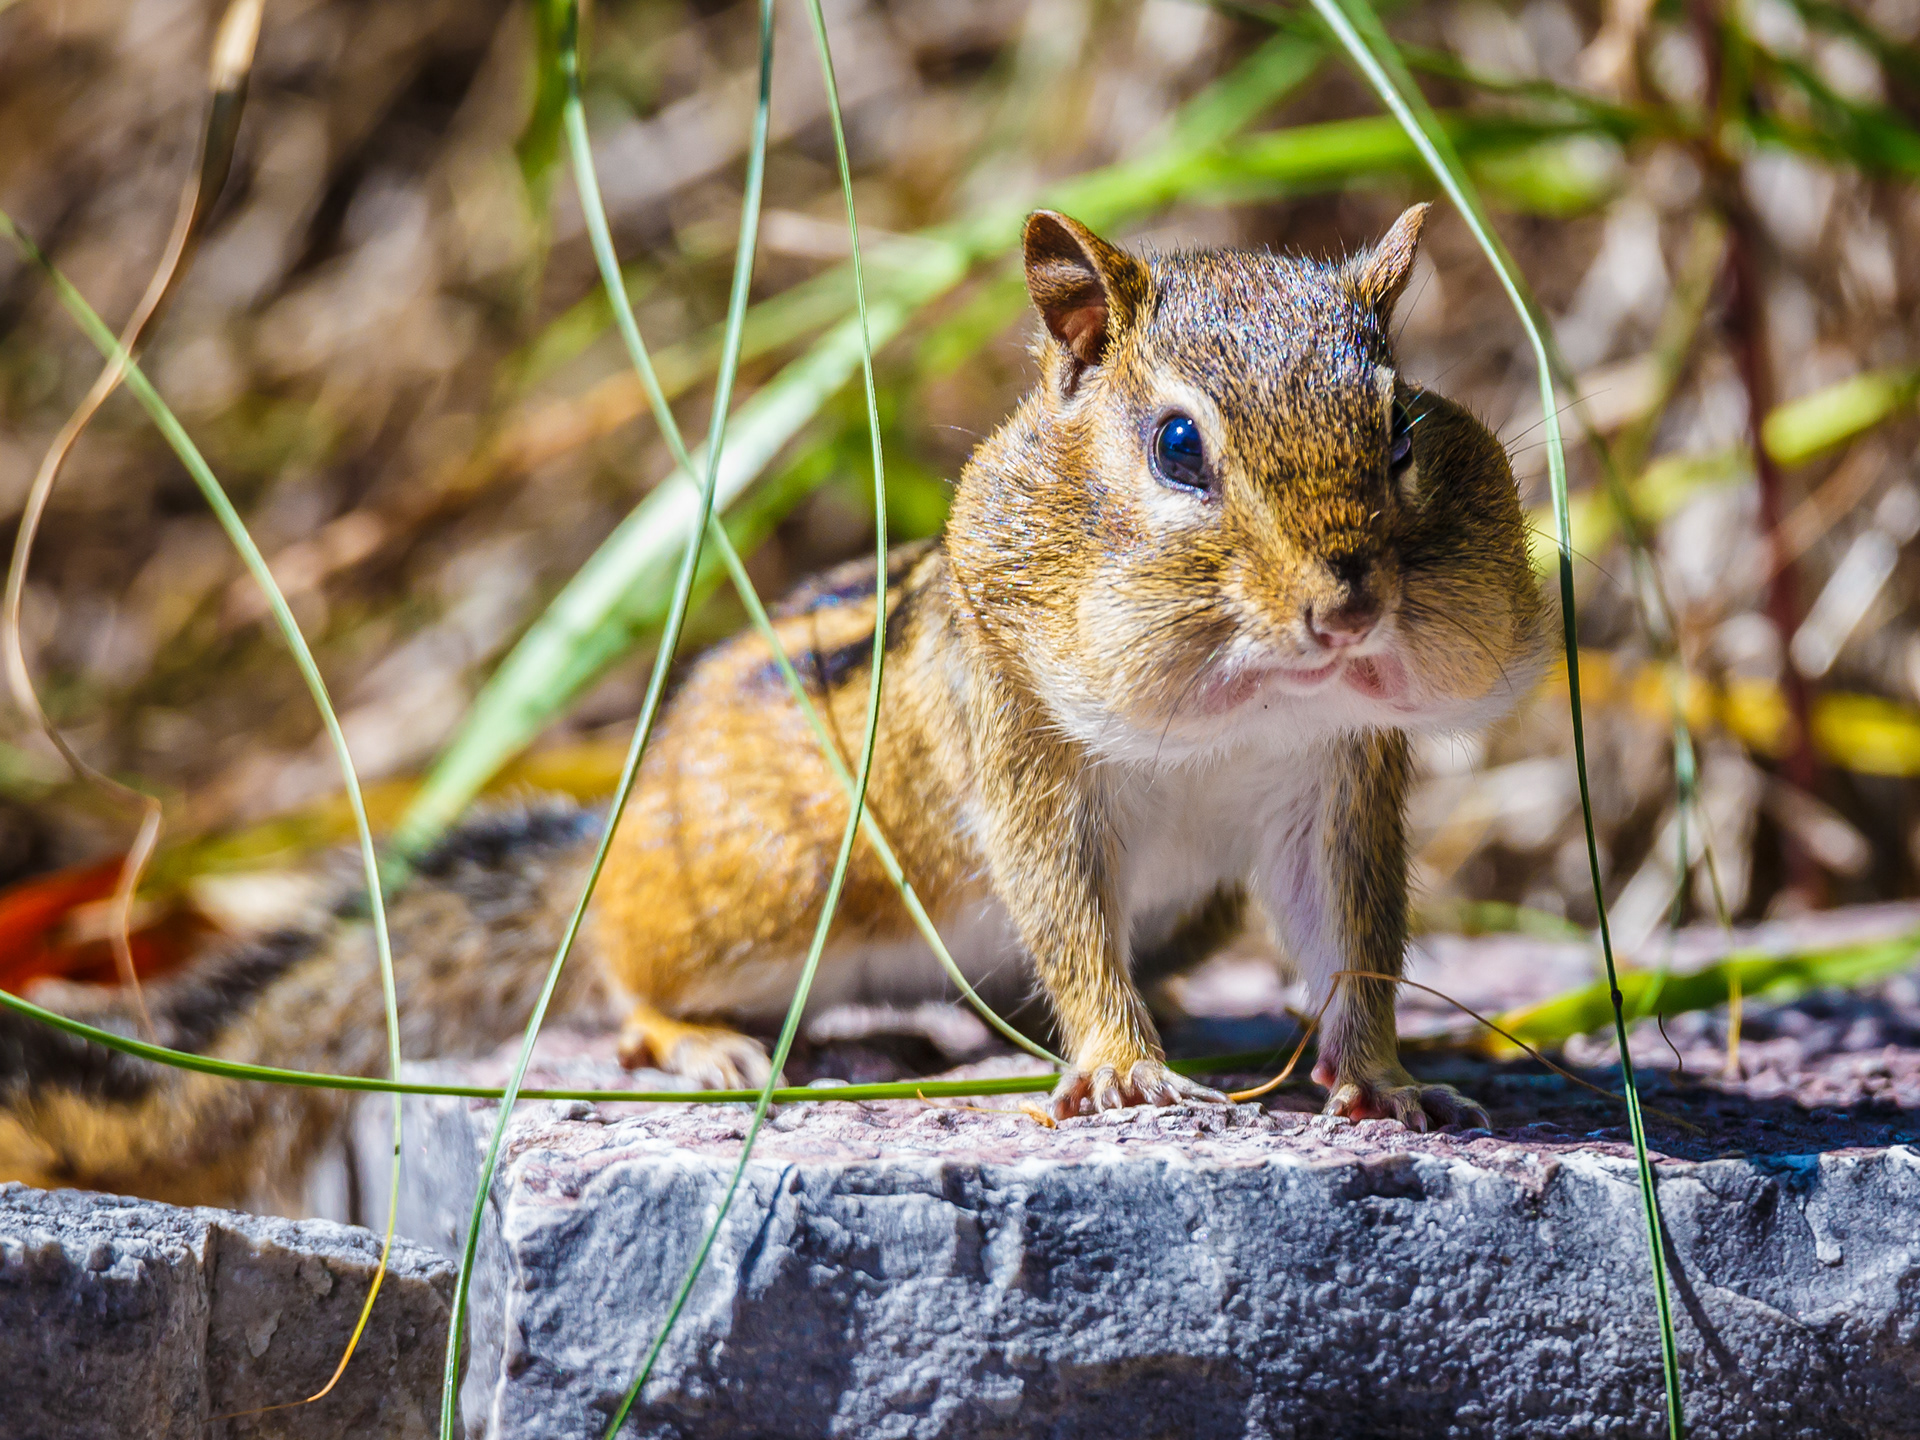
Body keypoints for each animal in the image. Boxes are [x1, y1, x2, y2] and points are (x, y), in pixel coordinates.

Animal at [0, 205, 1546, 1210]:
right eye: (1178, 446)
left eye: (1402, 431)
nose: (1348, 606)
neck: (1241, 710)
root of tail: (614, 831)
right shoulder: (1024, 753)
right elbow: (1062, 909)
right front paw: (1123, 1067)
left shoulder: (1332, 783)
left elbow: (1355, 941)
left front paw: (1389, 1079)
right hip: (750, 894)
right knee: (622, 968)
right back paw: (702, 1037)